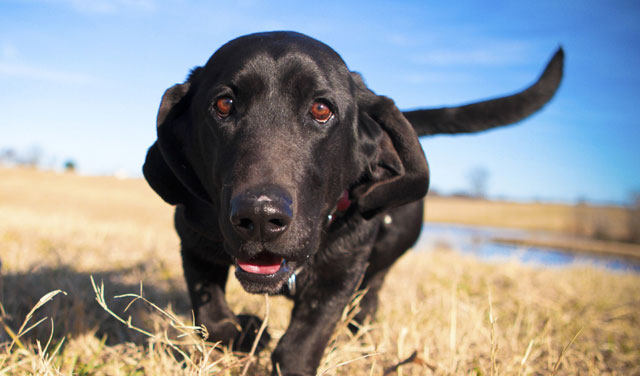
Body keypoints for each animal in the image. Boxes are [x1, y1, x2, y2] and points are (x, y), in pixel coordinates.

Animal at [142, 30, 564, 374]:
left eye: (321, 109)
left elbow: (299, 347)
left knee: (367, 305)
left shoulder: (342, 273)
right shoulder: (195, 243)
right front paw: (246, 331)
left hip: (377, 270)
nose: (260, 217)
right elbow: (212, 317)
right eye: (224, 104)